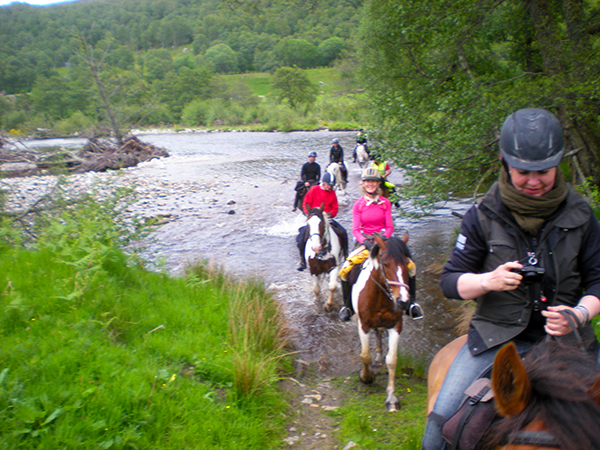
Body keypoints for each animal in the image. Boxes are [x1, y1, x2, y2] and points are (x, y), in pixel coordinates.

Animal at [350, 232, 414, 412]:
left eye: (406, 264)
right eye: (385, 264)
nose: (403, 301)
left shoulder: (396, 326)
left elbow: (392, 360)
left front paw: (391, 398)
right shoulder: (363, 325)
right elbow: (365, 356)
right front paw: (366, 377)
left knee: (378, 332)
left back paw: (379, 354)